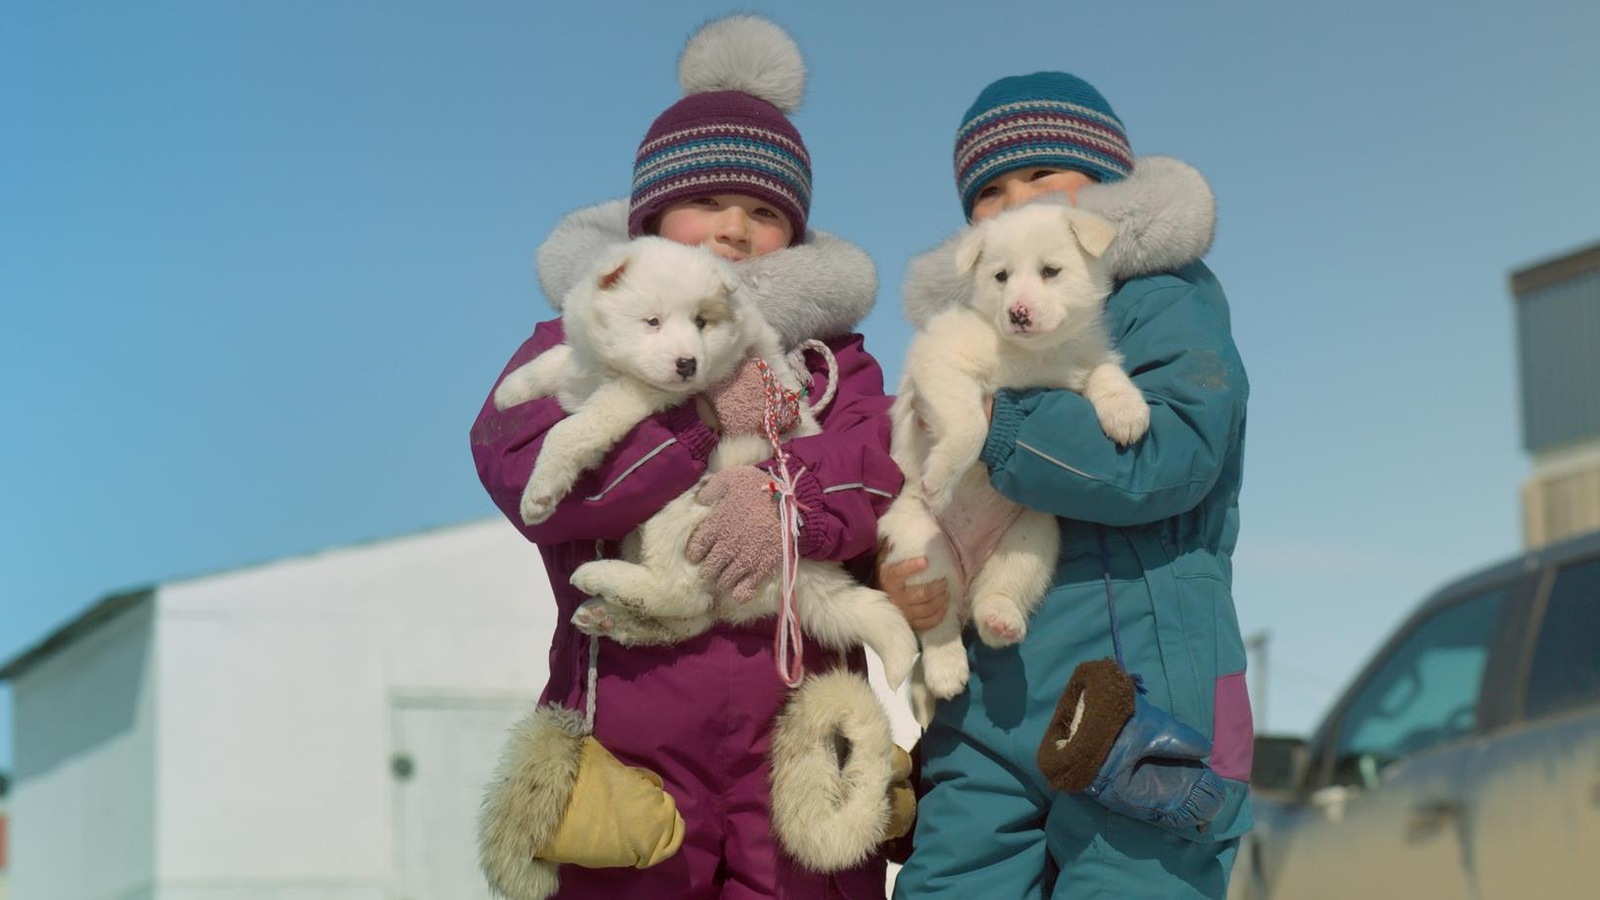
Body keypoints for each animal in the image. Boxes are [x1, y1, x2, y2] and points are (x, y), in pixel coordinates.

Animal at [876, 199, 1152, 717]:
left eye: (1050, 271)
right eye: (1000, 276)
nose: (1018, 313)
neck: (1033, 357)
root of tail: (968, 574)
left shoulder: (1084, 361)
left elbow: (1108, 374)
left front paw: (1128, 413)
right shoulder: (941, 359)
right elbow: (970, 423)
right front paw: (941, 475)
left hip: (1031, 541)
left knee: (999, 596)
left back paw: (1000, 620)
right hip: (920, 547)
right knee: (939, 626)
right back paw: (947, 670)